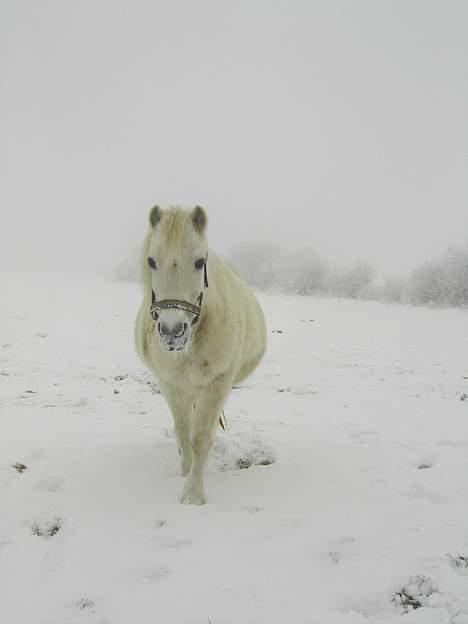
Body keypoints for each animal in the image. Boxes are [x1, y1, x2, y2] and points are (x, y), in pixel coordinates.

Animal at [135, 207, 266, 504]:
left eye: (199, 262)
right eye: (151, 260)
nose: (172, 332)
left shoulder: (217, 384)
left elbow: (200, 439)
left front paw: (193, 494)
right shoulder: (170, 384)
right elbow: (184, 434)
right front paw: (184, 474)